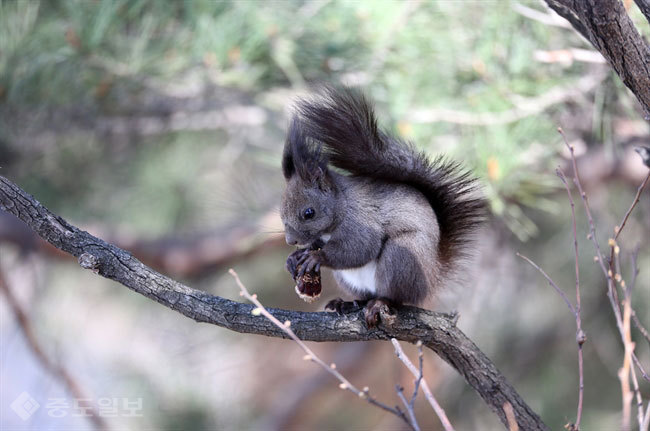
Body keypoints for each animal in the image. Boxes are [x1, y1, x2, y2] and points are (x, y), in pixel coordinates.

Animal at [278, 86, 486, 326]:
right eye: (281, 214)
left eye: (309, 213)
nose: (290, 241)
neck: (342, 204)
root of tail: (432, 278)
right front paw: (294, 258)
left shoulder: (361, 221)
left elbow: (360, 247)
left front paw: (316, 257)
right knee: (365, 295)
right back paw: (349, 303)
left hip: (401, 257)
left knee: (395, 296)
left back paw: (380, 303)